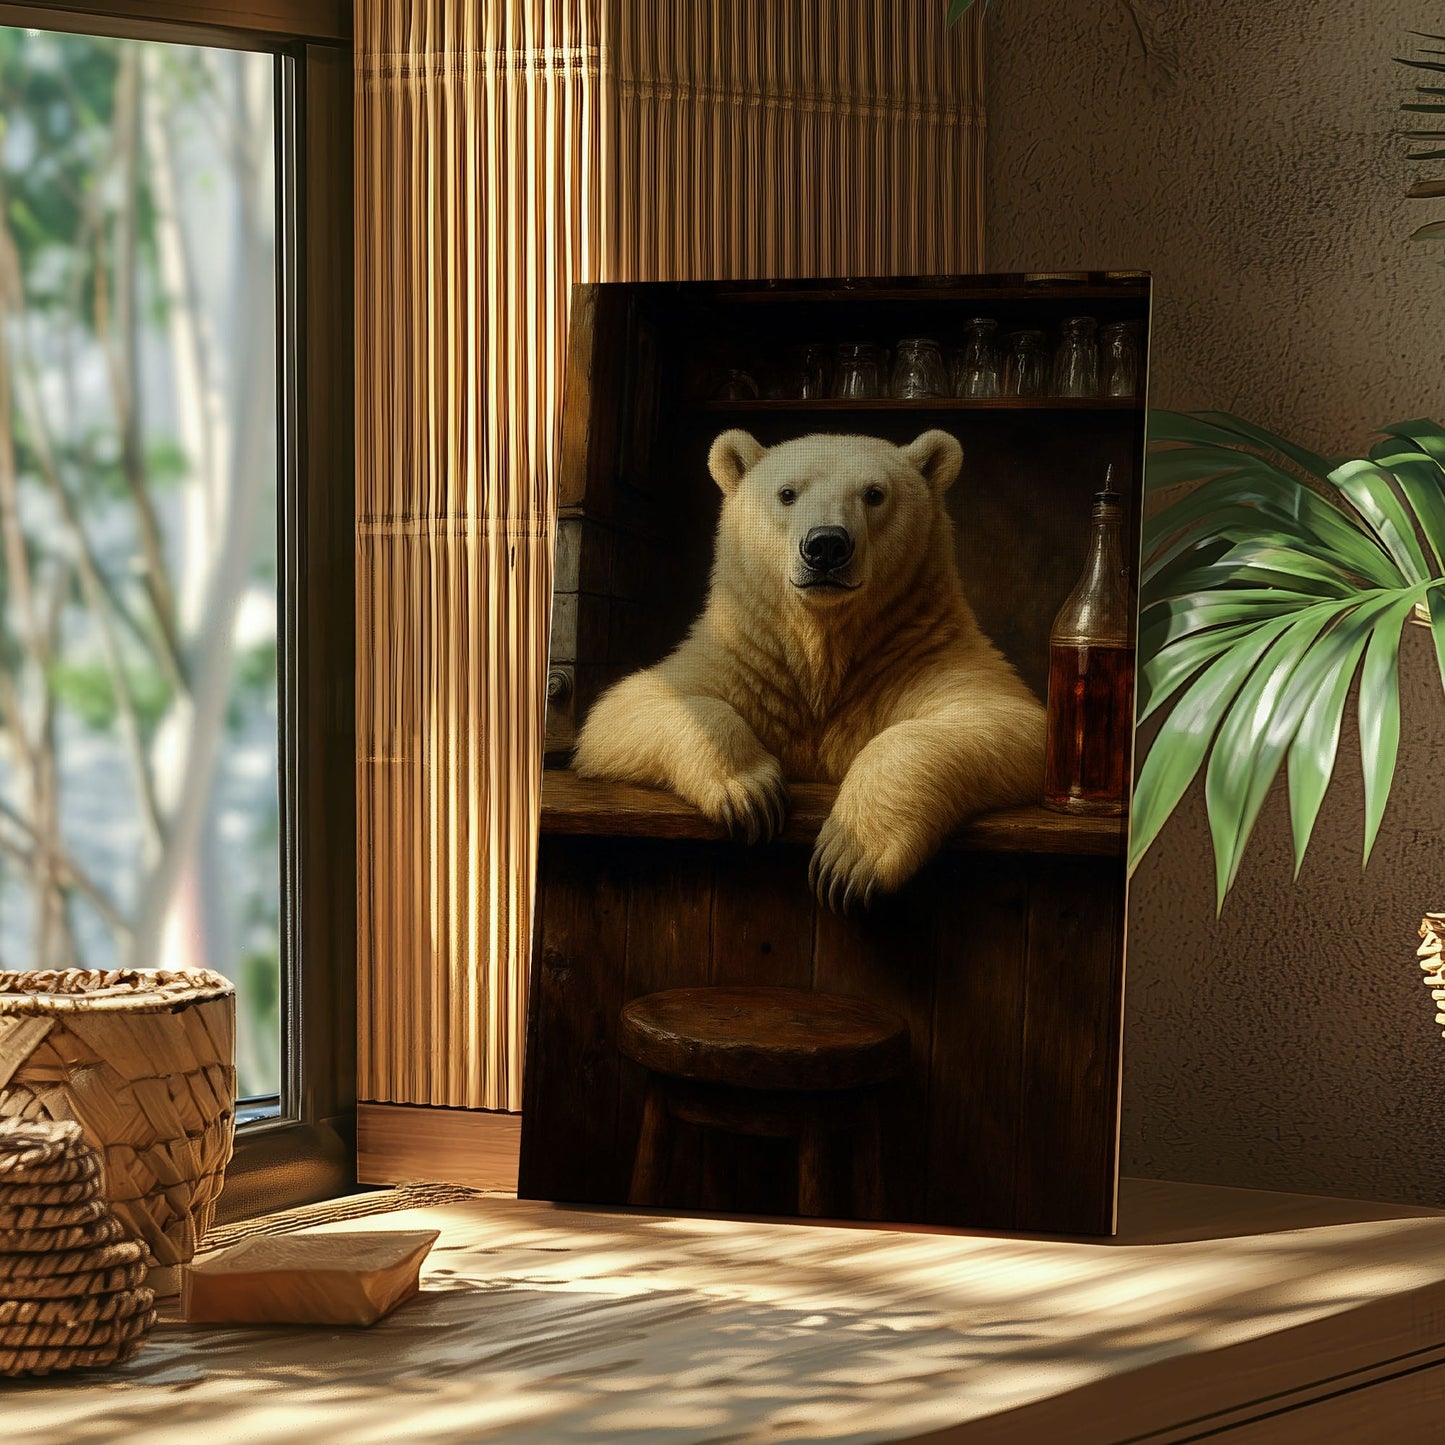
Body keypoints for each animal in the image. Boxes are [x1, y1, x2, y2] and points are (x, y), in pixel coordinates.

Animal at [571, 428, 1047, 912]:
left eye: (874, 494)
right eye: (787, 493)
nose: (826, 545)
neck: (823, 646)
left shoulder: (920, 654)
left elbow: (1006, 720)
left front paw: (849, 857)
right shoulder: (746, 658)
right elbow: (625, 709)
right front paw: (752, 794)